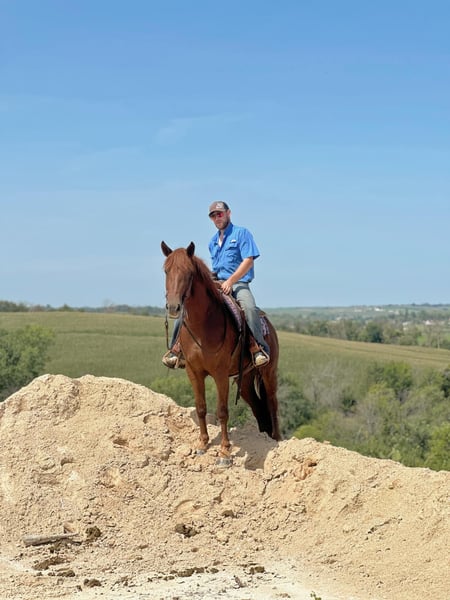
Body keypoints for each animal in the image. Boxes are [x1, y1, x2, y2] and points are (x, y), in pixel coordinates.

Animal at [161, 241, 281, 464]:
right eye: (166, 270)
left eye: (189, 273)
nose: (174, 307)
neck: (203, 326)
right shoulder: (194, 372)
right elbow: (200, 407)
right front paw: (202, 443)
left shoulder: (220, 374)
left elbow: (222, 411)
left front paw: (225, 452)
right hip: (245, 380)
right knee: (258, 406)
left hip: (268, 373)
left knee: (272, 403)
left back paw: (276, 438)